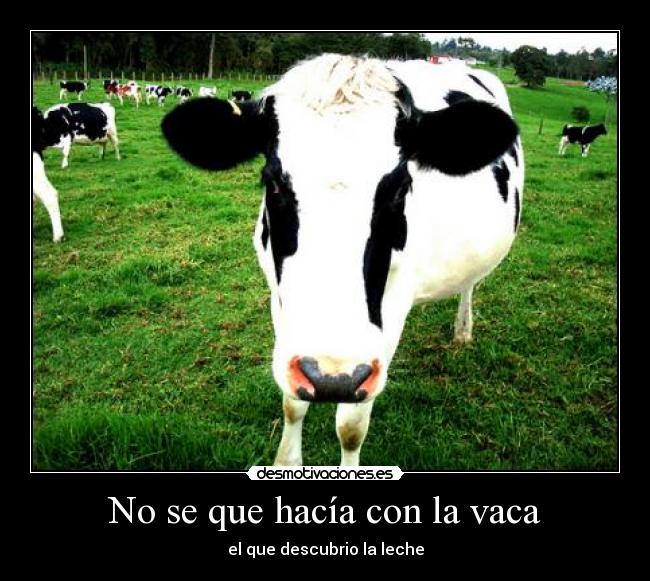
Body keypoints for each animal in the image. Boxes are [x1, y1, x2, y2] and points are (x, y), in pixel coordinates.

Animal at [161, 54, 524, 467]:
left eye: (400, 187)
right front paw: (286, 462)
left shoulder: (389, 314)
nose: (330, 378)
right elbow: (292, 403)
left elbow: (350, 426)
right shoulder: (281, 301)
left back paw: (463, 329)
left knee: (469, 286)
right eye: (273, 182)